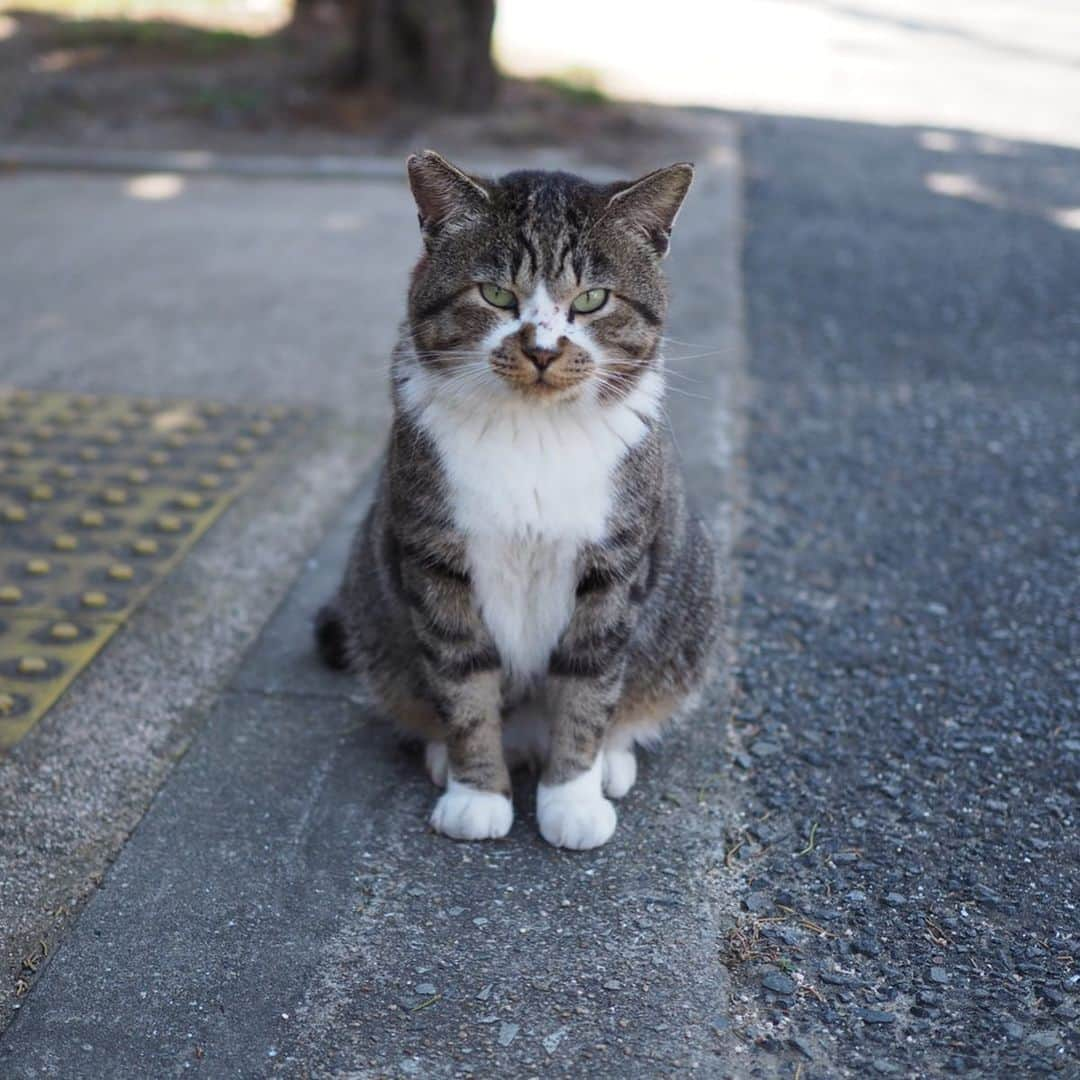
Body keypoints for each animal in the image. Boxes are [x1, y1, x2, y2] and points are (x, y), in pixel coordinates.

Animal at [313, 152, 717, 846]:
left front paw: (572, 798)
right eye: (497, 295)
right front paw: (476, 792)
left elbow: (588, 689)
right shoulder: (434, 559)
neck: (535, 433)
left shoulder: (614, 567)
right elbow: (463, 685)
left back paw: (610, 761)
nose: (543, 349)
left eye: (592, 299)